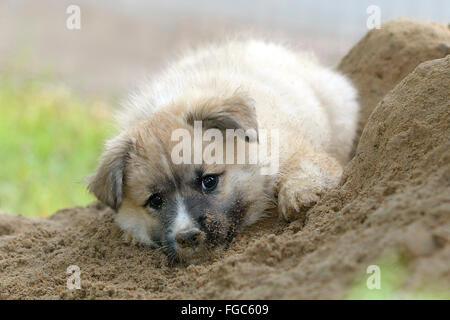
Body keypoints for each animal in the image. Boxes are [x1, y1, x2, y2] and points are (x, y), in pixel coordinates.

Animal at [87, 40, 358, 264]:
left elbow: (306, 164)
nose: (187, 236)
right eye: (155, 200)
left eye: (209, 181)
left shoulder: (293, 147)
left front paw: (300, 193)